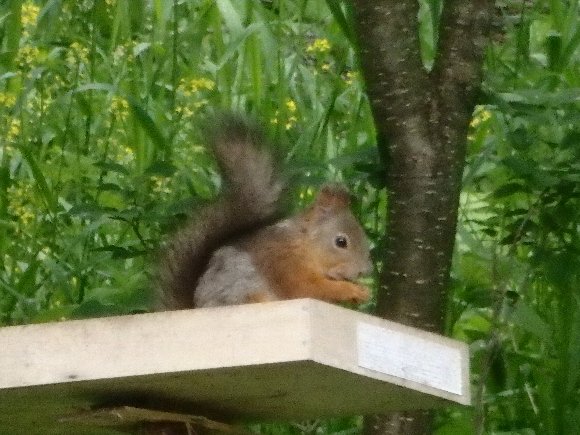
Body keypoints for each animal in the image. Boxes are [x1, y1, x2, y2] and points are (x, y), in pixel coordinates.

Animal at [158, 115, 372, 310]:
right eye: (341, 242)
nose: (365, 271)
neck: (304, 245)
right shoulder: (284, 264)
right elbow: (310, 288)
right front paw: (351, 289)